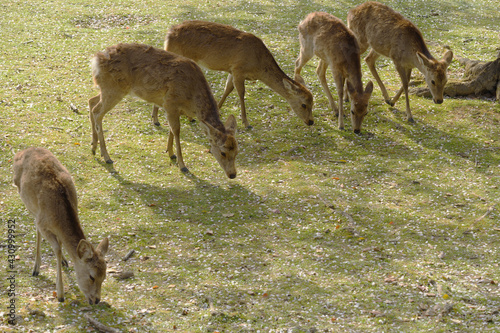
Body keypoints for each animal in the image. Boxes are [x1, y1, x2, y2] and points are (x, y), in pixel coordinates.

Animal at [12, 147, 109, 302]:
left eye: (104, 277)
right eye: (91, 276)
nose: (96, 300)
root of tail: (21, 152)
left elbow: (61, 242)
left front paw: (65, 260)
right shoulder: (43, 223)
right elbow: (56, 248)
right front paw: (61, 294)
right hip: (26, 201)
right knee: (36, 227)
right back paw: (36, 268)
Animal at [89, 44, 239, 179]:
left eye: (237, 151)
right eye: (223, 152)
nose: (232, 175)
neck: (192, 100)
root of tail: (96, 60)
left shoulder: (172, 108)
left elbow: (172, 130)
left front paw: (170, 153)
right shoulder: (170, 103)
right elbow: (176, 131)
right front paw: (182, 165)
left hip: (106, 88)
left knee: (91, 101)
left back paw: (94, 147)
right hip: (114, 89)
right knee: (97, 112)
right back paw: (106, 156)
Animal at [149, 19, 312, 128]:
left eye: (312, 102)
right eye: (304, 104)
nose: (311, 121)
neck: (258, 66)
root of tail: (168, 35)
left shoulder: (231, 70)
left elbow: (228, 89)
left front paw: (219, 110)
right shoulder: (239, 68)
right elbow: (241, 92)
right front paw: (246, 123)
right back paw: (156, 120)